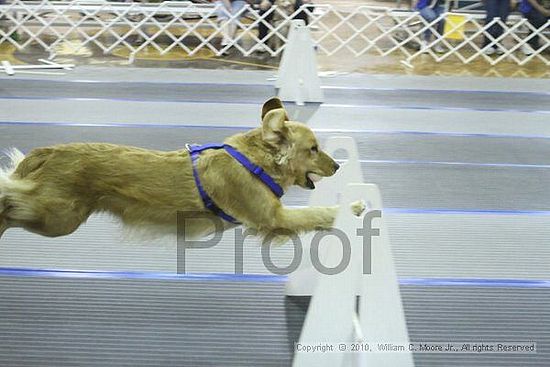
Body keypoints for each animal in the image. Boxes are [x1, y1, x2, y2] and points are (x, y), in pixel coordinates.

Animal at [1, 98, 366, 242]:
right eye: (313, 149)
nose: (337, 165)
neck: (255, 163)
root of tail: (50, 151)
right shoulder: (273, 218)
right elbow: (318, 212)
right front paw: (355, 204)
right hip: (55, 217)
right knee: (9, 196)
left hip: (57, 218)